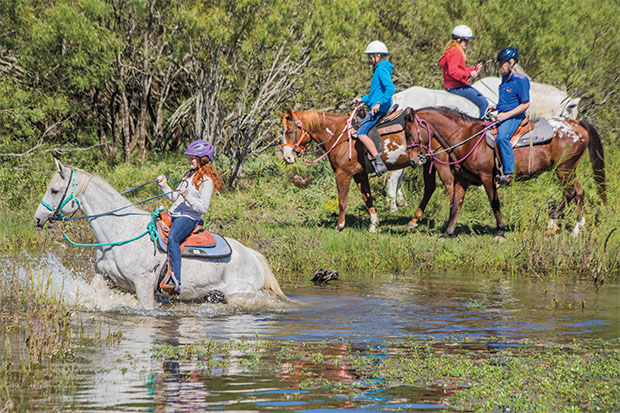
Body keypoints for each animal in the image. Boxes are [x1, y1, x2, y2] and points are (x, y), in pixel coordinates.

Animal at [34, 158, 286, 308]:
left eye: (54, 190)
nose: (38, 218)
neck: (119, 233)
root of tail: (254, 256)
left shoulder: (143, 283)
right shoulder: (103, 278)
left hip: (240, 295)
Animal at [280, 108, 422, 232]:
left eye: (289, 131)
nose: (287, 157)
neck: (340, 135)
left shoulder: (343, 174)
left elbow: (342, 201)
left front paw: (340, 226)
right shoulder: (359, 175)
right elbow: (367, 199)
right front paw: (373, 225)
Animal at [388, 77, 580, 212]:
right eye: (567, 114)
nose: (571, 131)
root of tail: (398, 97)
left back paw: (401, 201)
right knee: (394, 176)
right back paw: (393, 206)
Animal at [404, 108, 608, 237]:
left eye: (409, 133)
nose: (413, 160)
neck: (465, 138)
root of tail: (577, 123)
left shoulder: (487, 177)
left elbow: (494, 203)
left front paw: (500, 231)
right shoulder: (462, 179)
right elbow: (456, 205)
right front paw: (447, 232)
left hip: (564, 168)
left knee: (571, 192)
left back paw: (553, 223)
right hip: (568, 169)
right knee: (579, 192)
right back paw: (577, 228)